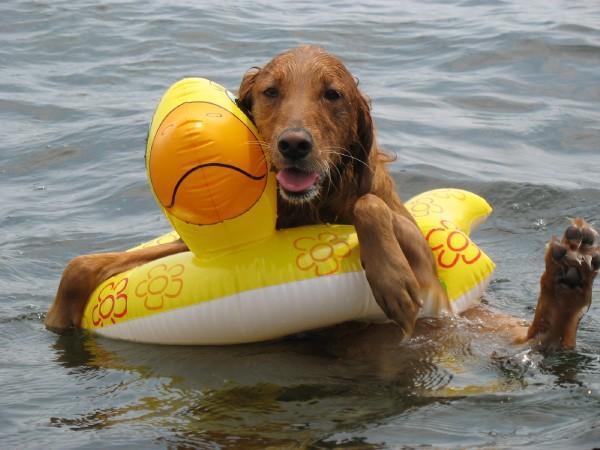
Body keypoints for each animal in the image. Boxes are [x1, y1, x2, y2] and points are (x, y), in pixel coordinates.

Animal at [44, 45, 596, 352]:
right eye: (270, 91)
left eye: (332, 94)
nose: (294, 144)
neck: (312, 204)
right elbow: (86, 262)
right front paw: (61, 312)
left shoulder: (425, 268)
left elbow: (370, 209)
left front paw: (391, 279)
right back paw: (567, 276)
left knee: (534, 338)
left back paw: (568, 276)